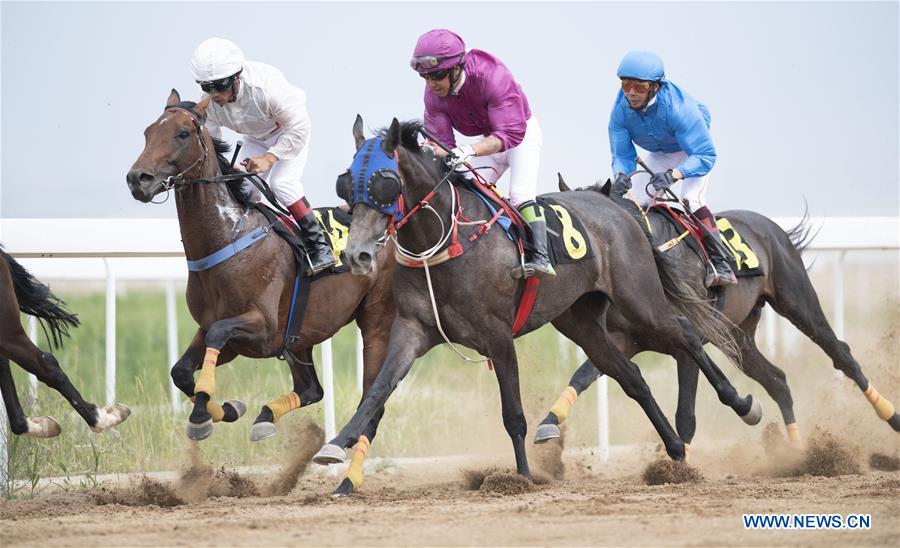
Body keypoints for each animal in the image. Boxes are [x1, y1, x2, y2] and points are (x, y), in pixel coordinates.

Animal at [125, 90, 394, 440]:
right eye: (147, 132)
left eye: (182, 133)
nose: (137, 179)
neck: (229, 238)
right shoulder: (220, 331)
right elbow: (181, 370)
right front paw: (223, 410)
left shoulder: (262, 328)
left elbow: (216, 337)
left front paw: (201, 414)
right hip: (303, 331)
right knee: (310, 389)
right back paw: (265, 417)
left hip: (375, 319)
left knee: (371, 394)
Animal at [536, 180, 896, 450]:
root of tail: (769, 226)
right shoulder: (625, 339)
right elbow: (583, 375)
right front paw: (549, 422)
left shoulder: (685, 344)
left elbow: (685, 414)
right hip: (739, 337)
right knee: (777, 379)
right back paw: (795, 451)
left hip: (798, 302)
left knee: (841, 355)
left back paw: (891, 416)